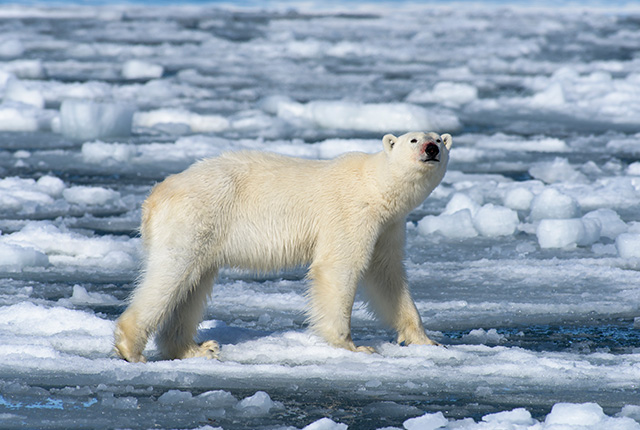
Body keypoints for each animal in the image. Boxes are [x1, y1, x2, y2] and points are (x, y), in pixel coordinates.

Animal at [116, 132, 456, 362]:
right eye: (413, 139)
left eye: (439, 138)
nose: (431, 149)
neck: (374, 186)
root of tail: (154, 196)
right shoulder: (350, 213)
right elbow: (339, 266)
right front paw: (352, 345)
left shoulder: (389, 226)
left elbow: (387, 276)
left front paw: (427, 341)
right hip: (194, 218)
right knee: (172, 274)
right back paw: (131, 347)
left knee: (193, 286)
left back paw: (197, 349)